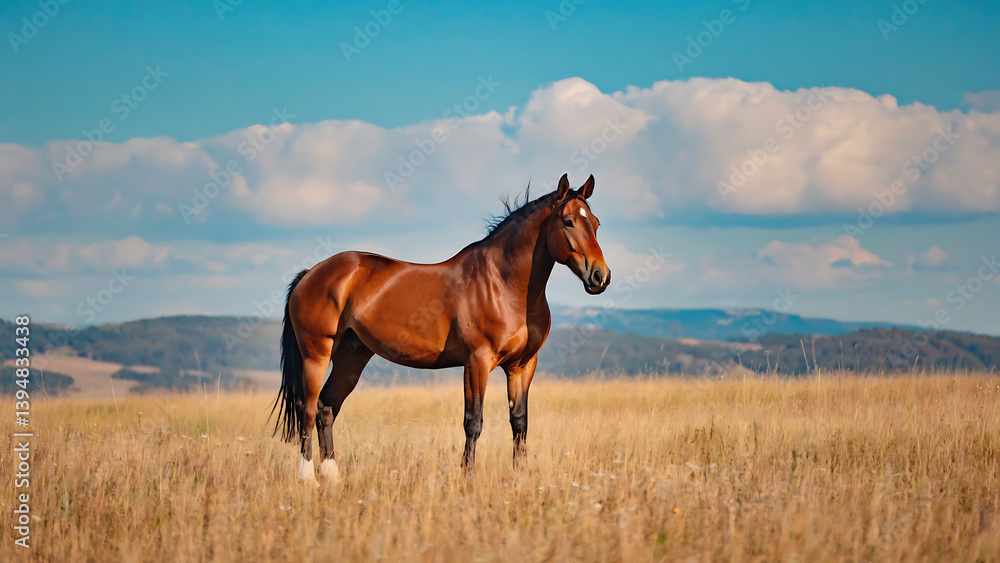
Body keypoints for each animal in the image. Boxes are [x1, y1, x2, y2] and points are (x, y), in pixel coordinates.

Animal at [273, 173, 611, 484]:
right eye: (567, 222)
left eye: (595, 223)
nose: (600, 277)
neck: (504, 285)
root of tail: (310, 273)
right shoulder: (476, 361)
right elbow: (473, 421)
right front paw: (467, 478)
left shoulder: (523, 365)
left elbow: (519, 421)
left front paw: (520, 477)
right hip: (316, 353)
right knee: (308, 408)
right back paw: (307, 478)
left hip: (351, 356)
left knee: (327, 407)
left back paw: (332, 477)